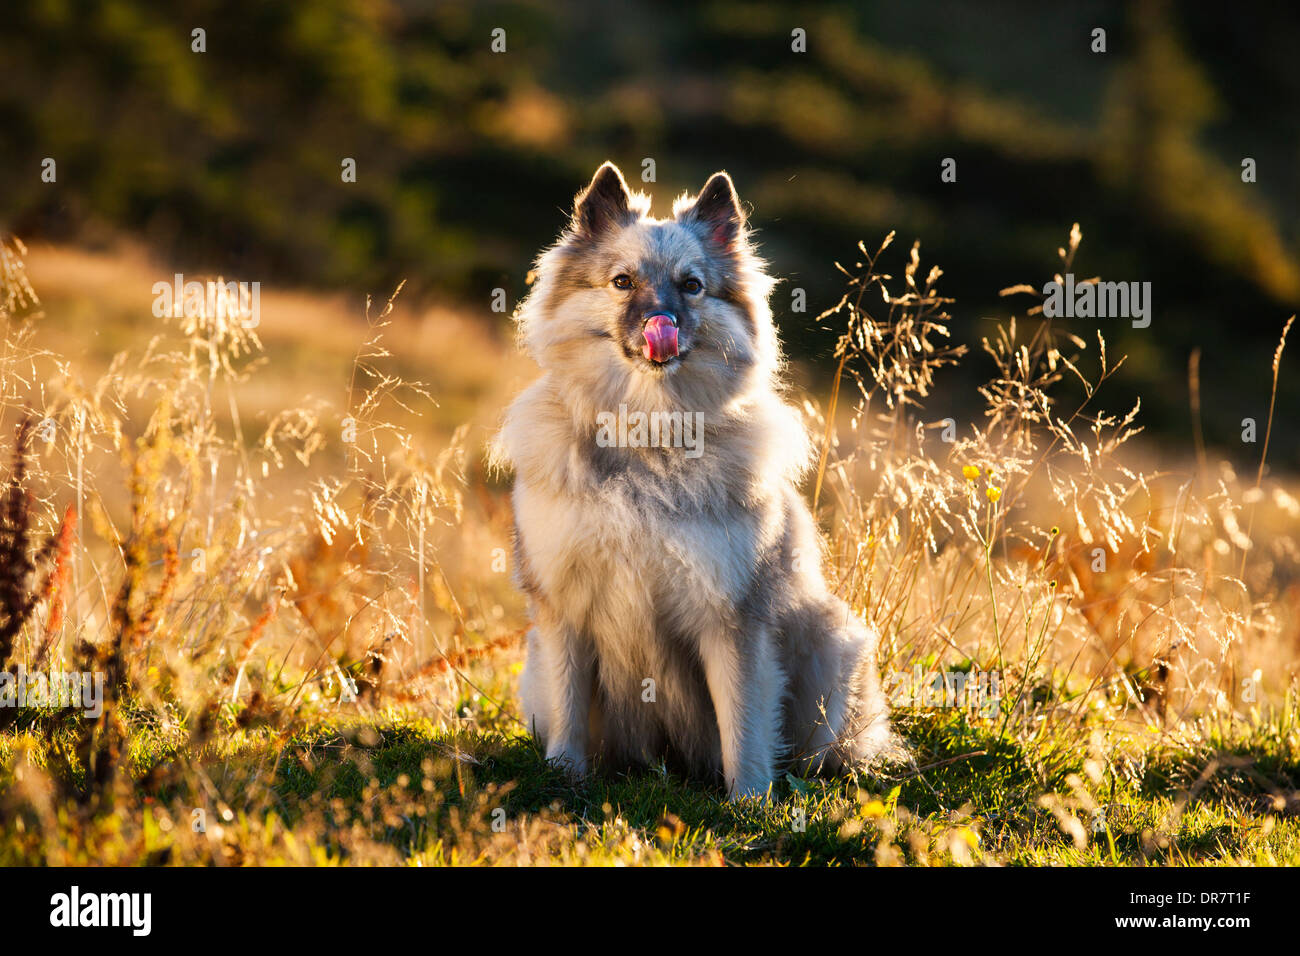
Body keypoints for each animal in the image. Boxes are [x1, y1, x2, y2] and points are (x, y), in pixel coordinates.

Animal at [491, 164, 899, 801]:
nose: (662, 323)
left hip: (831, 639)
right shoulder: (564, 612)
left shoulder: (733, 620)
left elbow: (744, 723)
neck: (649, 435)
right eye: (622, 282)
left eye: (692, 286)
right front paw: (564, 774)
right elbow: (569, 708)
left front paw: (751, 799)